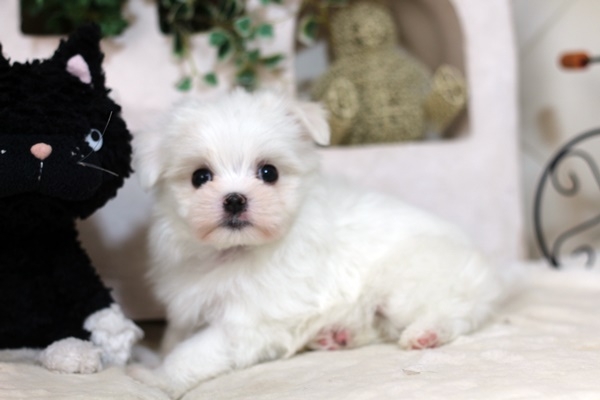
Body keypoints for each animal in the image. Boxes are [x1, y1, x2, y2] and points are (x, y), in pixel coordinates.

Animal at [129, 89, 505, 398]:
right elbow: (173, 338)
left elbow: (192, 353)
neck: (231, 252)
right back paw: (338, 336)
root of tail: (489, 275)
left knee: (456, 313)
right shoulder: (188, 305)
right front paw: (153, 359)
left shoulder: (246, 323)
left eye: (269, 172)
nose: (235, 200)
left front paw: (155, 379)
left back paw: (426, 333)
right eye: (200, 177)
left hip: (406, 285)